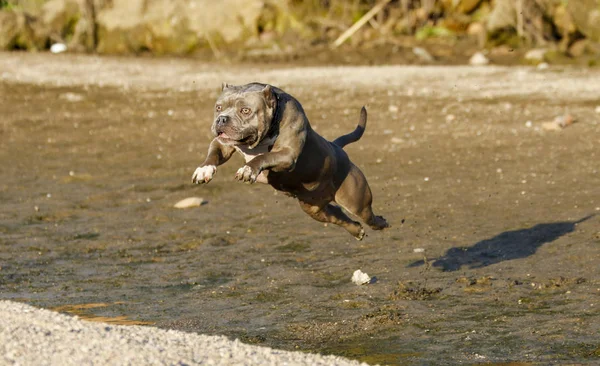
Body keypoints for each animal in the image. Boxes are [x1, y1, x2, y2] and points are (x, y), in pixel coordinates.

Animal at [192, 82, 390, 240]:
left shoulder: (288, 154)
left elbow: (264, 156)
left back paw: (383, 223)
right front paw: (204, 170)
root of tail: (337, 147)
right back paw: (356, 231)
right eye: (218, 107)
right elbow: (214, 153)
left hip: (357, 202)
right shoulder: (222, 144)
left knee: (369, 217)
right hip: (314, 208)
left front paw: (249, 169)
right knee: (337, 215)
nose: (222, 119)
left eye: (245, 110)